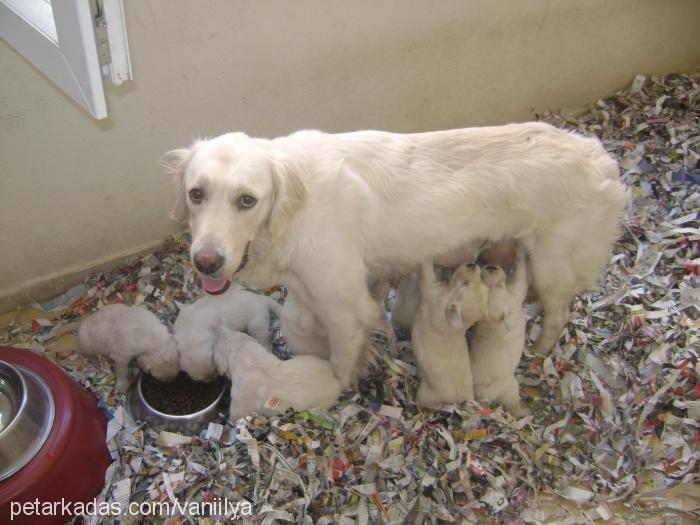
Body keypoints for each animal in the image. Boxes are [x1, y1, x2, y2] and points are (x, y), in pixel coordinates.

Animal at [165, 122, 628, 384]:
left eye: (247, 200)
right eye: (196, 194)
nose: (205, 261)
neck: (293, 210)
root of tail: (602, 158)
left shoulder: (347, 308)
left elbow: (339, 362)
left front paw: (333, 388)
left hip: (552, 263)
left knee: (559, 311)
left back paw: (540, 351)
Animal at [410, 260, 486, 408]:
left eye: (465, 284)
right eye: (480, 279)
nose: (472, 264)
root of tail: (466, 398)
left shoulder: (431, 290)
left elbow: (426, 270)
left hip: (426, 395)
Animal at [470, 248, 532, 416]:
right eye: (497, 287)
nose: (491, 267)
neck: (493, 323)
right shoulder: (513, 296)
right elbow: (521, 278)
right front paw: (522, 250)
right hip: (510, 385)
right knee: (512, 404)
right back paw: (524, 411)